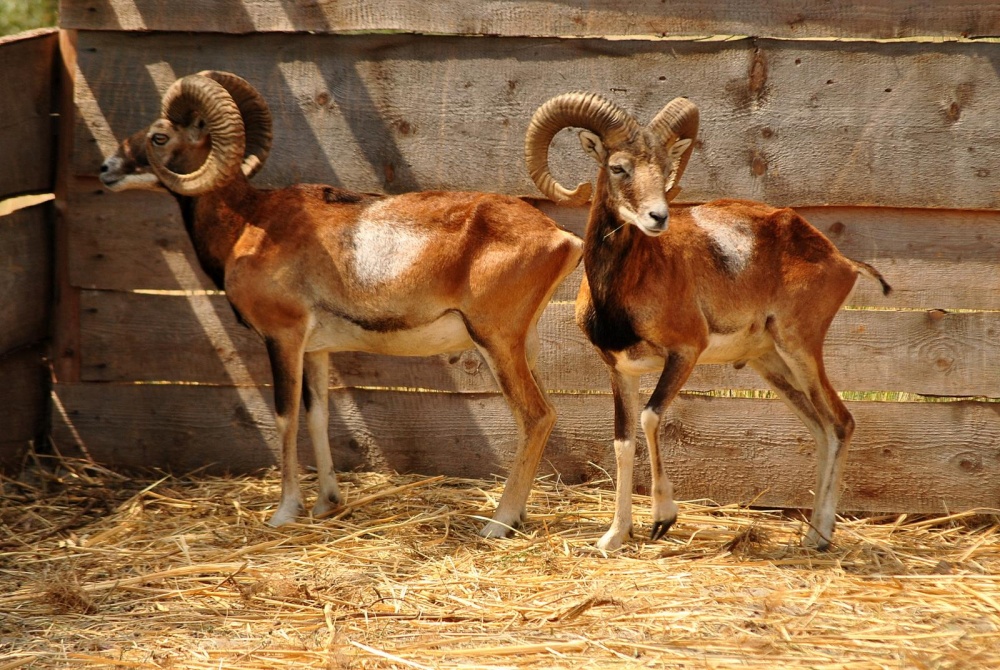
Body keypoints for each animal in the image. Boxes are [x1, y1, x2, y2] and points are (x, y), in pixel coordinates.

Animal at [99, 71, 583, 536]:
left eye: (159, 137)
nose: (106, 169)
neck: (249, 223)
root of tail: (561, 237)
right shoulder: (316, 351)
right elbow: (317, 416)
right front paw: (324, 506)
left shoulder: (283, 338)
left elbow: (285, 417)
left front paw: (284, 514)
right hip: (522, 347)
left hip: (495, 342)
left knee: (535, 416)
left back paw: (498, 524)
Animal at [523, 91, 890, 551]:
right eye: (618, 166)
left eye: (665, 168)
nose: (658, 217)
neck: (626, 287)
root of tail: (841, 260)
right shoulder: (620, 370)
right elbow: (623, 442)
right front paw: (614, 538)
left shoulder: (684, 354)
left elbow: (650, 417)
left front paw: (663, 519)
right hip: (773, 366)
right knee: (823, 429)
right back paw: (811, 536)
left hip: (801, 349)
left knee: (841, 422)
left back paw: (819, 538)